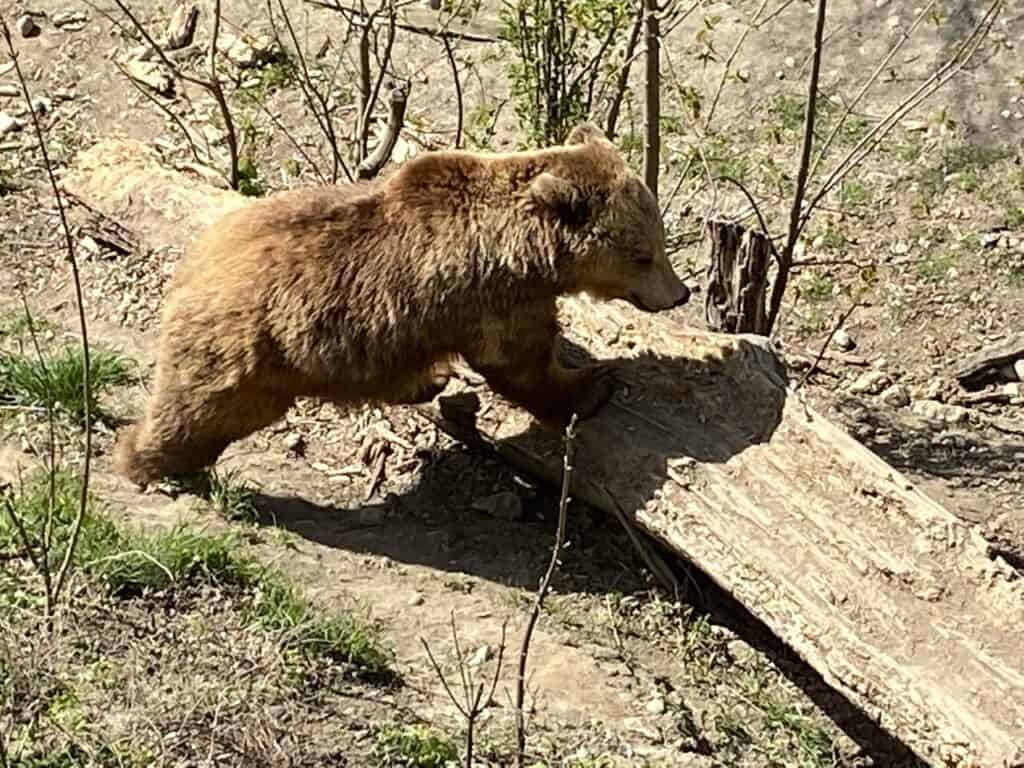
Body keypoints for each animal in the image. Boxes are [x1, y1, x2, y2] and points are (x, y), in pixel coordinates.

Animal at [113, 122, 690, 487]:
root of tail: (190, 271)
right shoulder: (493, 299)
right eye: (643, 254)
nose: (679, 293)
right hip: (243, 358)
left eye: (660, 242)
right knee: (198, 412)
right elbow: (521, 364)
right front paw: (594, 386)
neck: (528, 252)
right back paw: (144, 462)